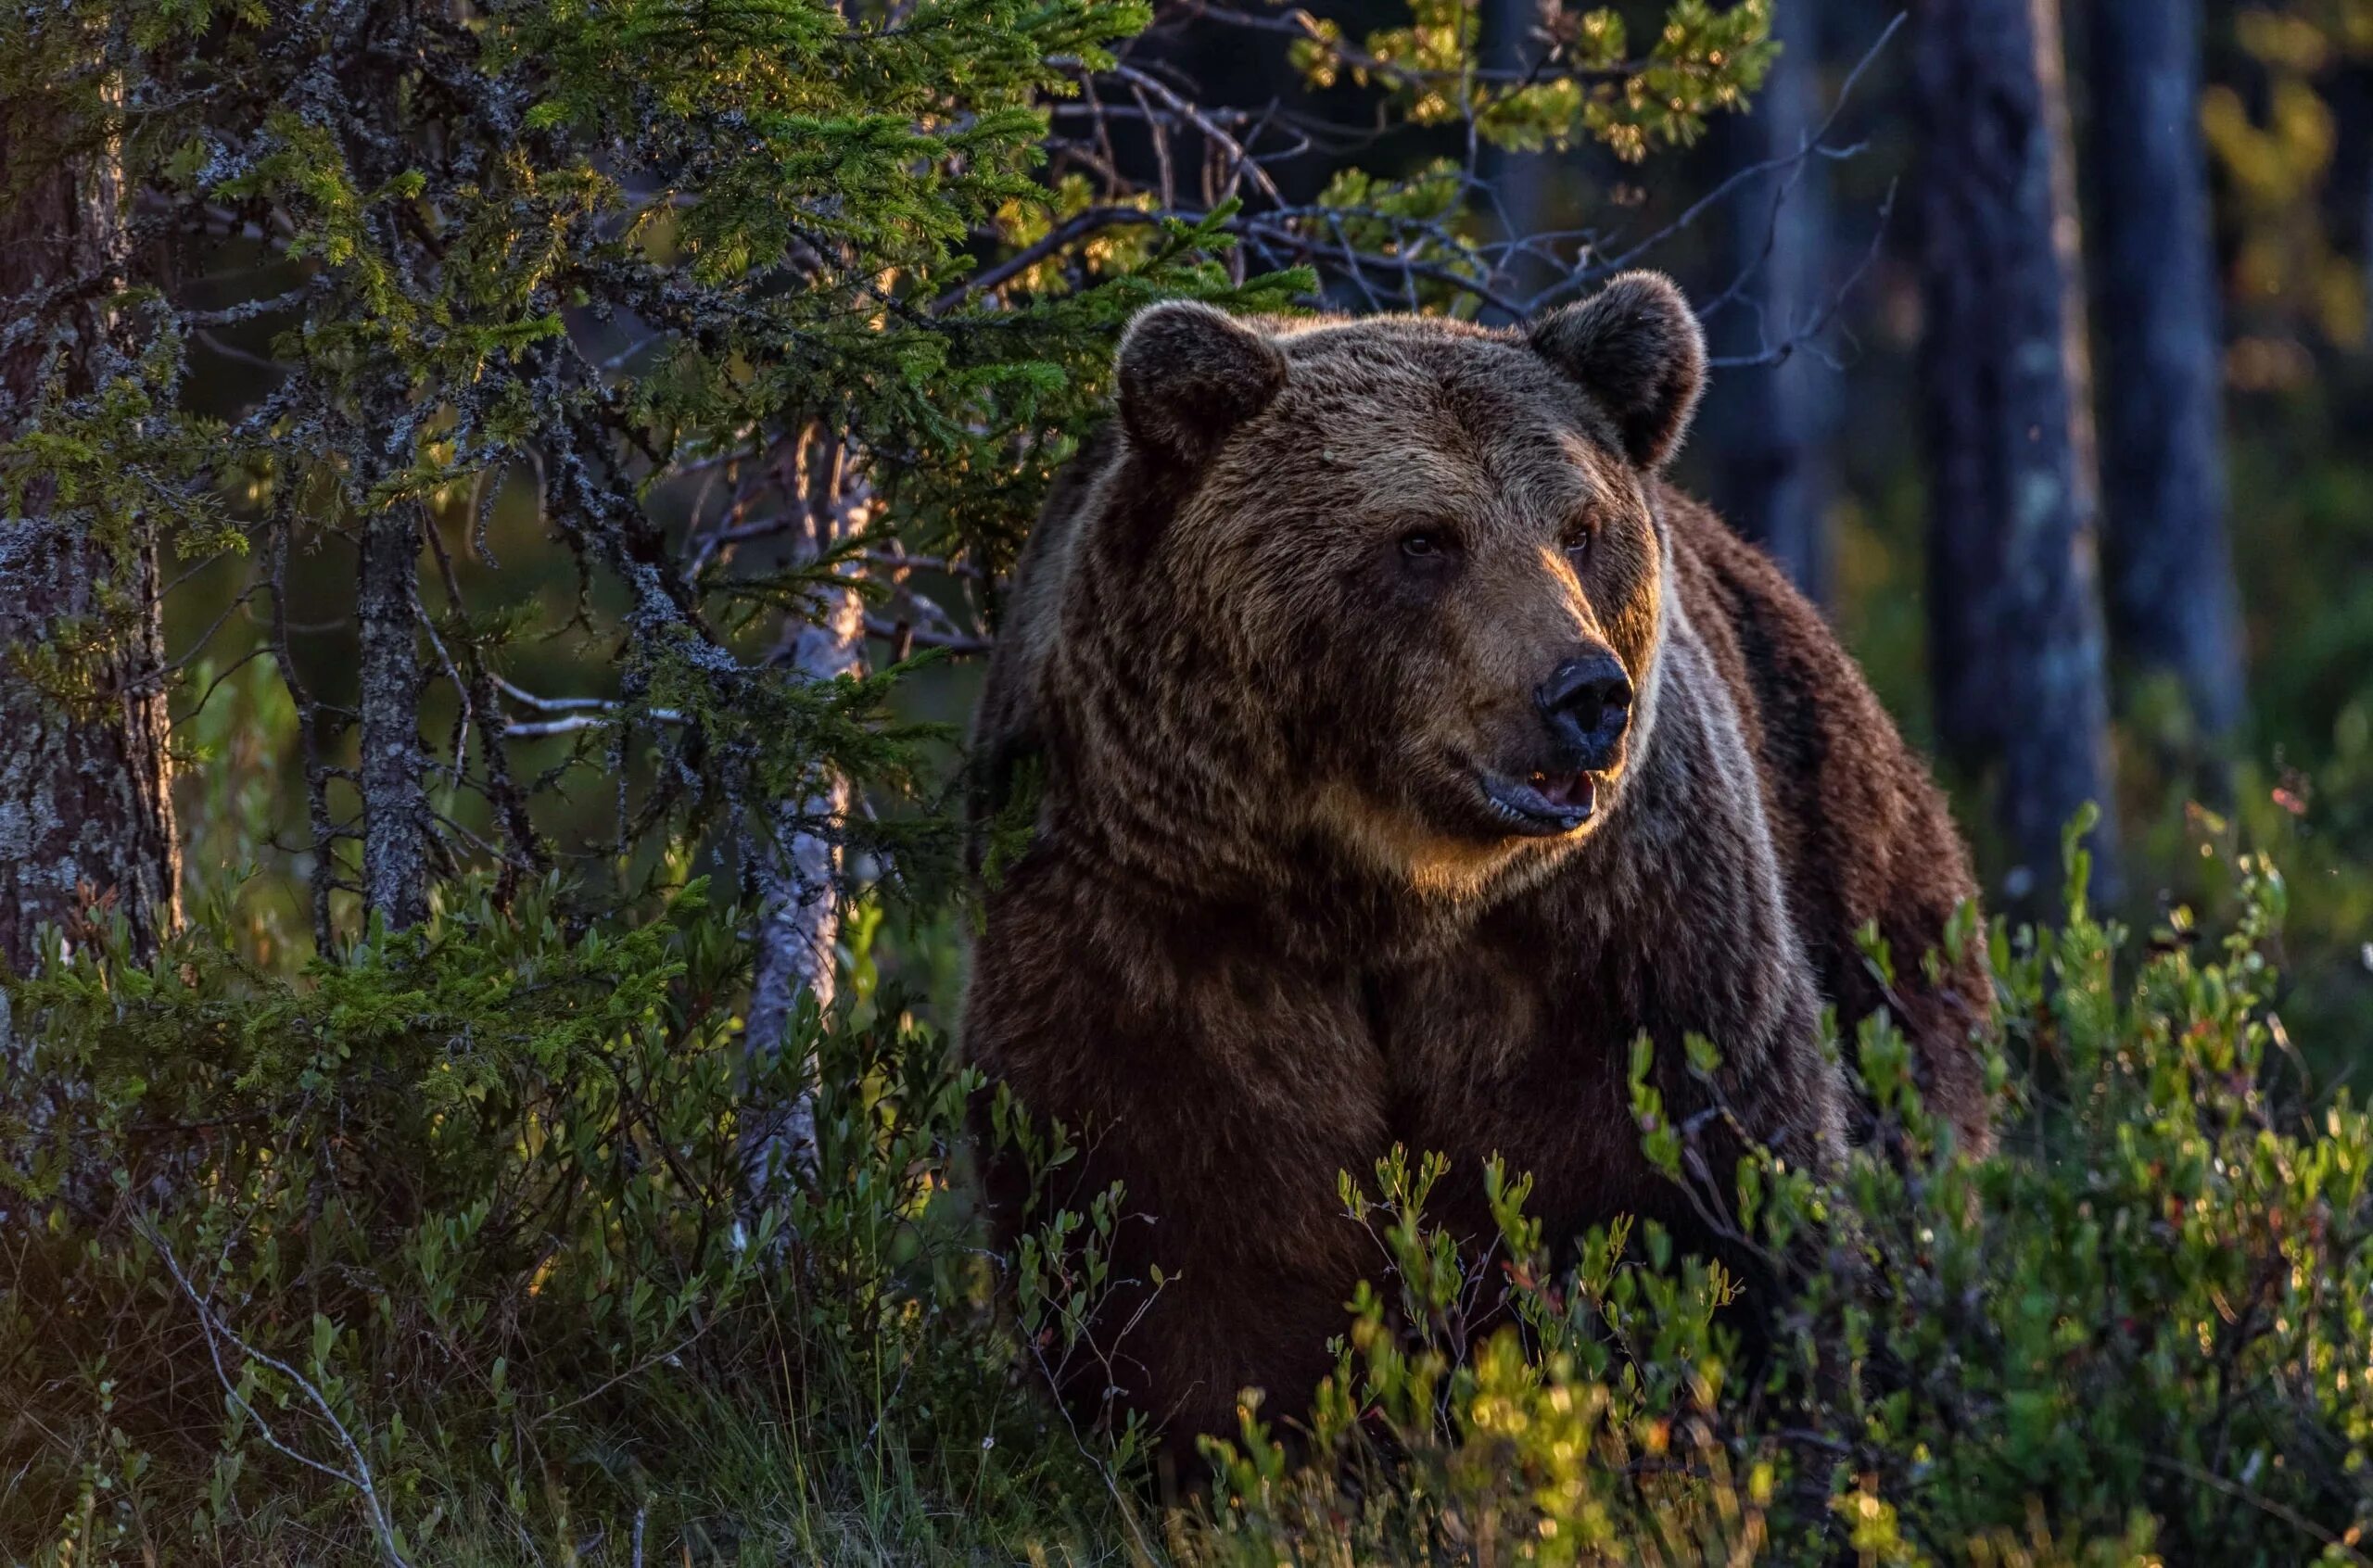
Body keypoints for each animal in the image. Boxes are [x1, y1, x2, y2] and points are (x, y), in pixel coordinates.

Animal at [958, 269, 1984, 1451]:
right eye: (1422, 539)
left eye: (1579, 527)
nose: (1585, 695)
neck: (1384, 895)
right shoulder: (1155, 927)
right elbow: (1182, 1263)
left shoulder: (1619, 947)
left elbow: (1708, 1216)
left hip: (1868, 911)